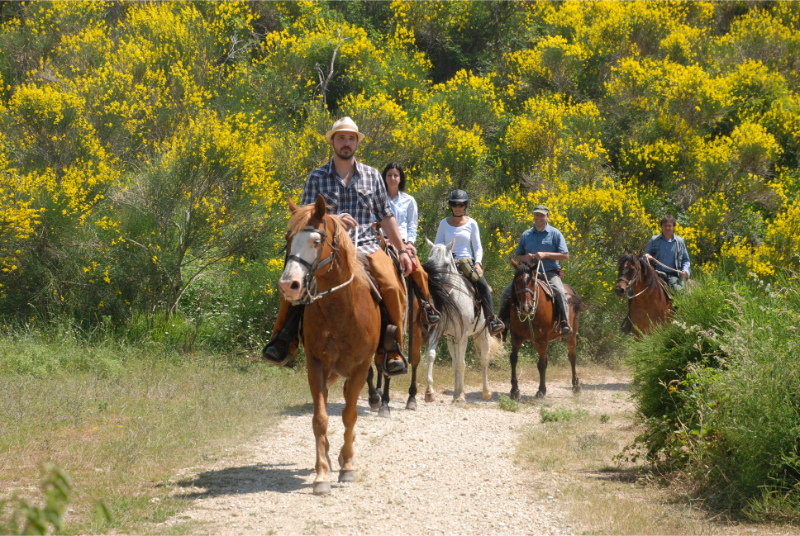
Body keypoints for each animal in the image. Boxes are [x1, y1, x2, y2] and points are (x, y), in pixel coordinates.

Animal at [282, 195, 382, 496]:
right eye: (289, 239)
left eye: (316, 240)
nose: (288, 285)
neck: (341, 309)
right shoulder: (316, 365)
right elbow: (320, 418)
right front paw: (321, 474)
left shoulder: (360, 367)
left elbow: (349, 415)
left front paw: (347, 467)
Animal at [510, 262, 584, 400]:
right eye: (516, 282)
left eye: (533, 282)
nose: (526, 308)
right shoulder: (517, 336)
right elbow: (513, 359)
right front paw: (515, 391)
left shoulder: (542, 339)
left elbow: (541, 365)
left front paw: (541, 391)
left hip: (571, 336)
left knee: (572, 358)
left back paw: (576, 386)